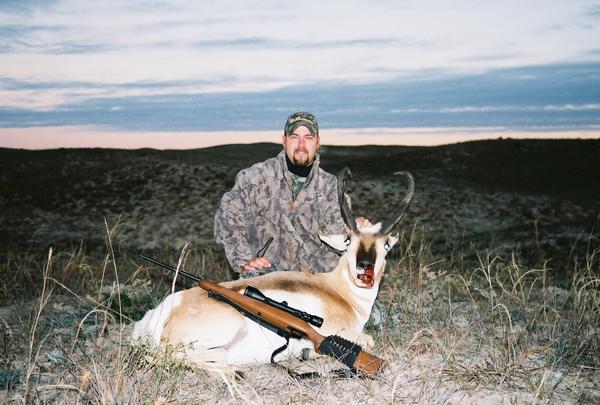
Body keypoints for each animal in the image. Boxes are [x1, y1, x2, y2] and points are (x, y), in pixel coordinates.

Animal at [131, 166, 412, 370]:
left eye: (386, 245)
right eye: (348, 241)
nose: (365, 269)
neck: (338, 292)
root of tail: (158, 315)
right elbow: (368, 340)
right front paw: (307, 352)